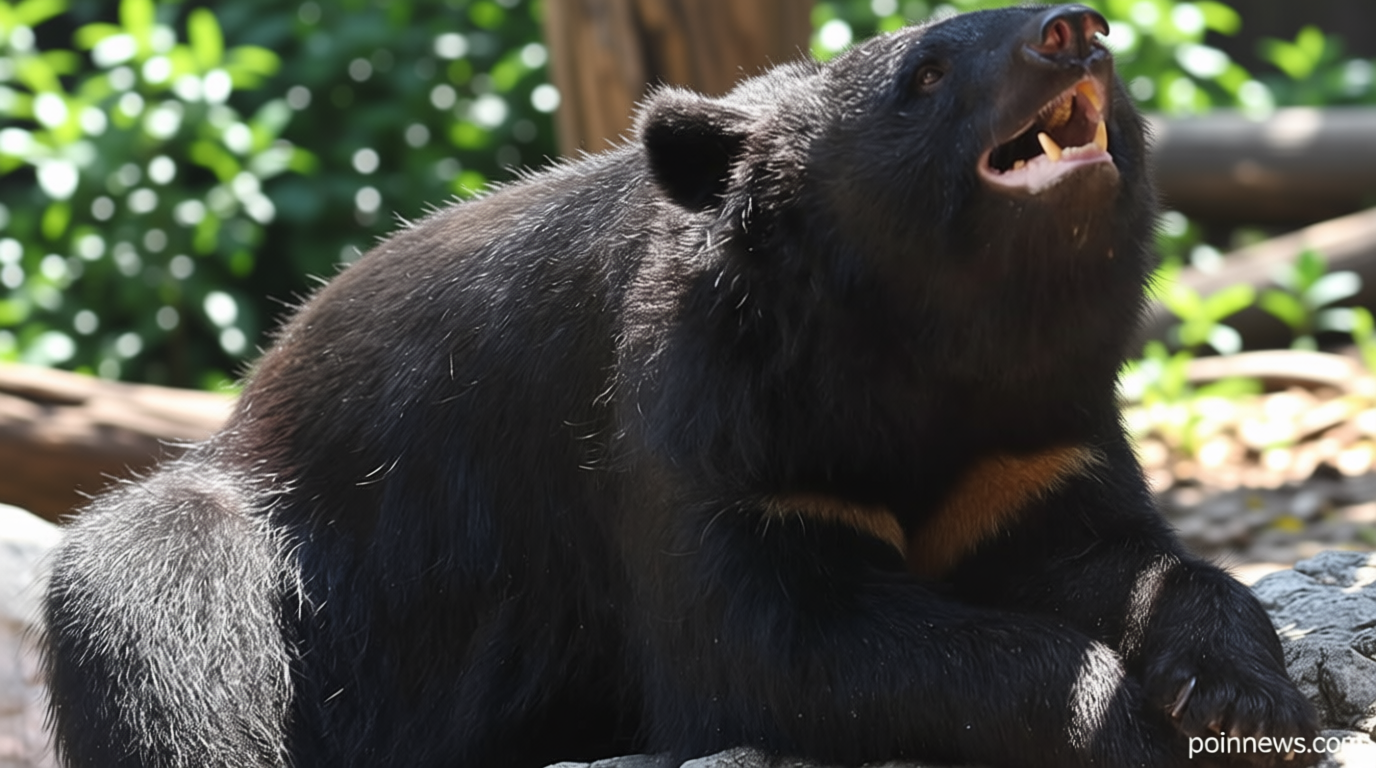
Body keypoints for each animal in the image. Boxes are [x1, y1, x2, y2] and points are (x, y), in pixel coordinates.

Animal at [41, 5, 1318, 768]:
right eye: (924, 73)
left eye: (1084, 34)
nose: (1075, 30)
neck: (923, 350)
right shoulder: (708, 433)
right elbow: (772, 645)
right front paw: (1115, 720)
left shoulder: (1030, 436)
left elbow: (1113, 555)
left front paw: (1242, 697)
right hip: (262, 539)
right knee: (154, 621)